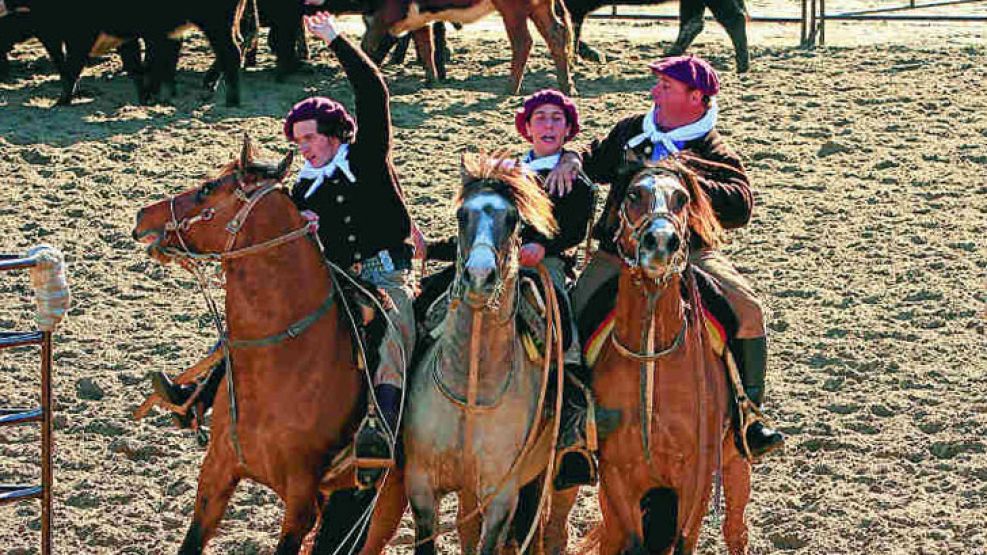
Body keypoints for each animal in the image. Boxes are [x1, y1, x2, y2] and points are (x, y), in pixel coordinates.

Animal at [360, 0, 580, 95]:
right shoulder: (419, 18)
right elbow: (425, 46)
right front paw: (432, 81)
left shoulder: (383, 16)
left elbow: (368, 44)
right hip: (539, 7)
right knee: (556, 36)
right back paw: (567, 87)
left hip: (512, 10)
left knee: (522, 42)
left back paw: (510, 88)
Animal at [584, 159, 752, 552]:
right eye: (634, 194)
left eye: (682, 198)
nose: (661, 241)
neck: (653, 357)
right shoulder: (617, 477)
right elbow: (634, 542)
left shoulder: (697, 478)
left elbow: (684, 541)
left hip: (736, 463)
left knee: (736, 531)